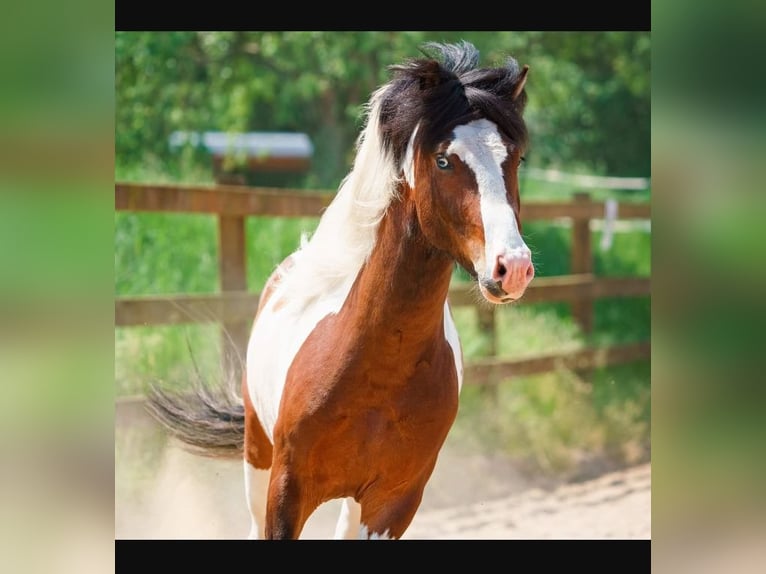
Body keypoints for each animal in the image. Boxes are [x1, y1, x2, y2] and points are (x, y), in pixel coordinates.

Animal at [147, 40, 536, 540]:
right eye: (444, 160)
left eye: (516, 159)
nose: (513, 267)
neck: (379, 369)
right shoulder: (286, 492)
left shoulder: (393, 503)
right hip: (257, 462)